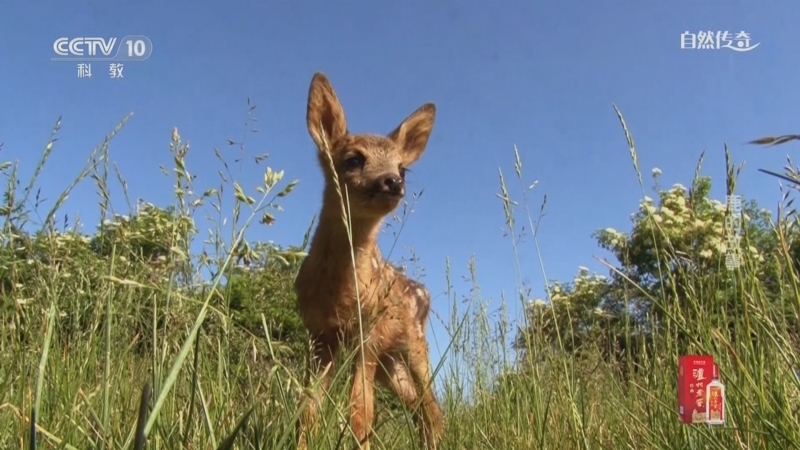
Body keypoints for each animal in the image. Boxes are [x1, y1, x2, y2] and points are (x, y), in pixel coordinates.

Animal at [294, 72, 443, 450]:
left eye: (402, 168)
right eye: (353, 159)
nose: (393, 182)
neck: (338, 289)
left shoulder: (368, 331)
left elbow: (361, 412)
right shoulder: (321, 336)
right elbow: (309, 407)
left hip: (414, 345)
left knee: (432, 406)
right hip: (391, 362)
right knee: (417, 405)